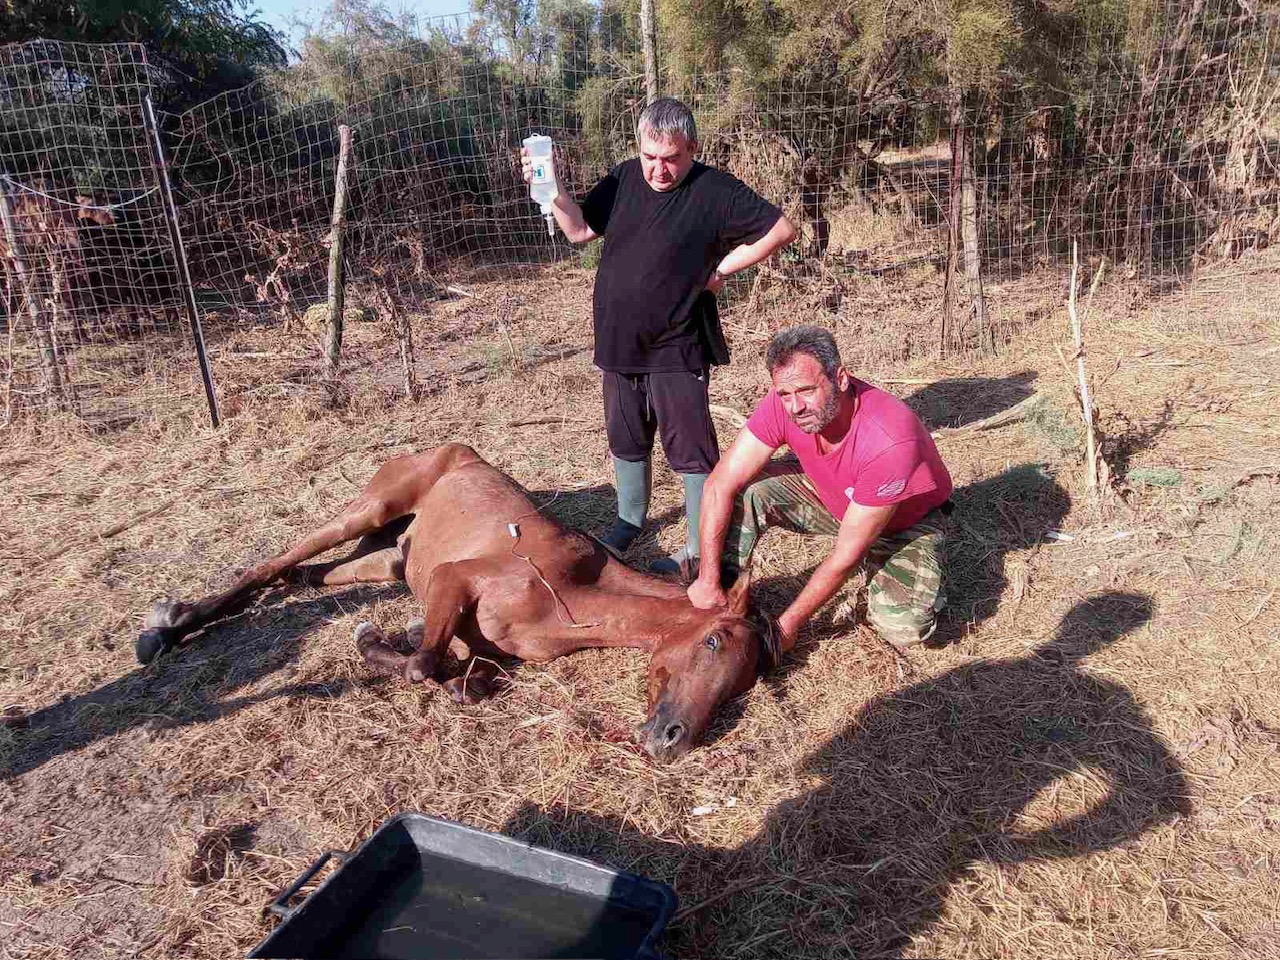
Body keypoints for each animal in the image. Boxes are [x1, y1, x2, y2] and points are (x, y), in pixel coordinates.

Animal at [140, 445, 778, 768]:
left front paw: (402, 642)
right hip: (370, 510)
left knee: (315, 573)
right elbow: (422, 664)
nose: (673, 739)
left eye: (742, 683)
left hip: (390, 557)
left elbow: (458, 681)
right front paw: (375, 639)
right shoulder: (454, 579)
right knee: (274, 563)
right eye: (713, 641)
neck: (569, 594)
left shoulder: (490, 651)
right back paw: (165, 627)